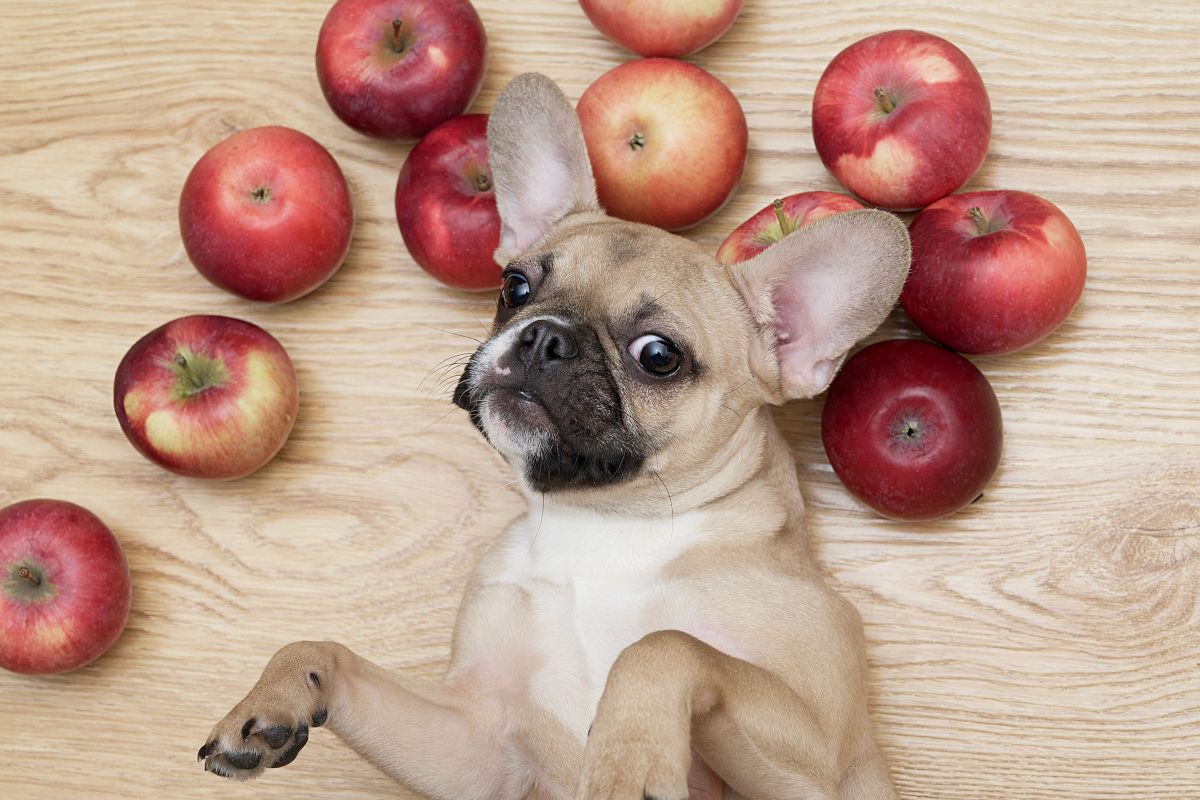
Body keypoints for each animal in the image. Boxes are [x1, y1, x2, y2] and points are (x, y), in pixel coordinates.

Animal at [196, 70, 907, 800]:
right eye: (515, 285)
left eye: (659, 356)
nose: (544, 337)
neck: (602, 525)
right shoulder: (477, 743)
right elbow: (319, 649)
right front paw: (273, 698)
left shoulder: (816, 761)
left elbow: (665, 645)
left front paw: (628, 759)